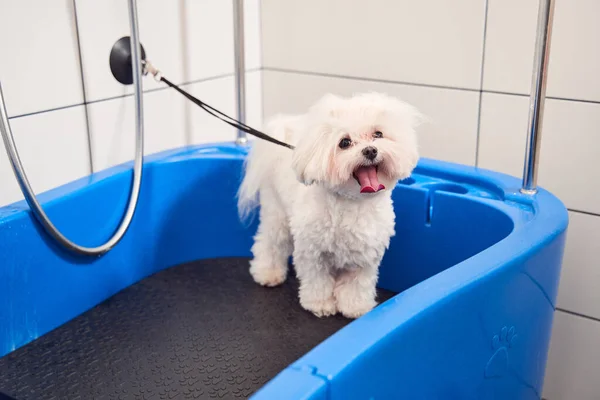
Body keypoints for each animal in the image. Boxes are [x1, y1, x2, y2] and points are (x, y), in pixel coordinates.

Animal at [237, 91, 420, 318]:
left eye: (378, 134)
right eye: (345, 142)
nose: (370, 151)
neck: (352, 202)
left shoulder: (365, 256)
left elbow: (357, 284)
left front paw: (355, 307)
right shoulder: (312, 252)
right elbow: (317, 281)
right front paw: (320, 304)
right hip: (276, 212)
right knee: (270, 243)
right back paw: (267, 272)